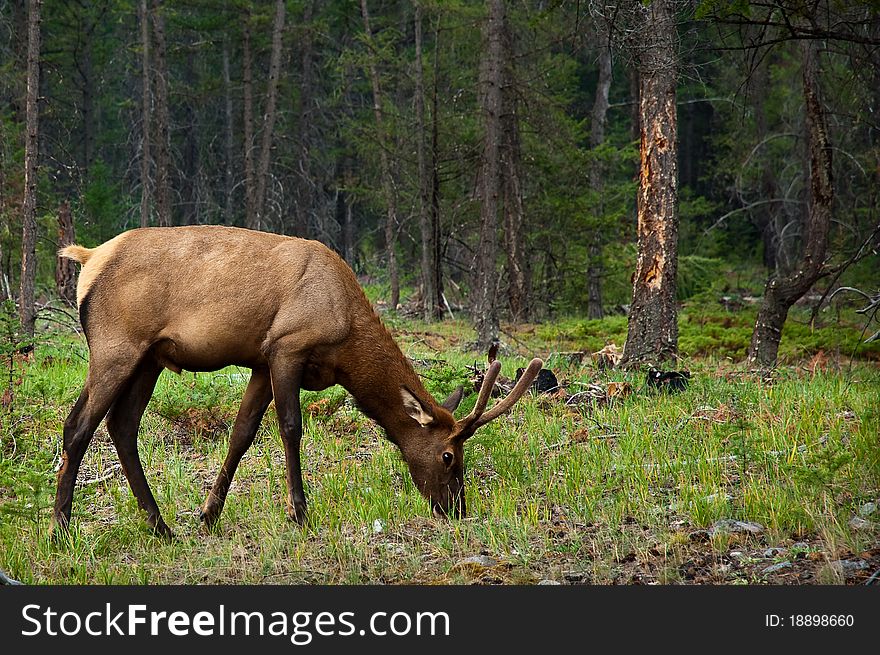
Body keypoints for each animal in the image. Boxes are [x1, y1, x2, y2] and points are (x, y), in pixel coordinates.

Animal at [53, 227, 544, 540]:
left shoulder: (259, 361)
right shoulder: (287, 347)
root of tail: (88, 258)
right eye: (448, 456)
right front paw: (300, 513)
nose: (456, 509)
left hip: (149, 358)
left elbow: (242, 433)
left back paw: (162, 528)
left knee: (122, 426)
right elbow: (290, 427)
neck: (346, 343)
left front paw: (208, 516)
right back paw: (61, 529)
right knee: (78, 426)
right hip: (117, 345)